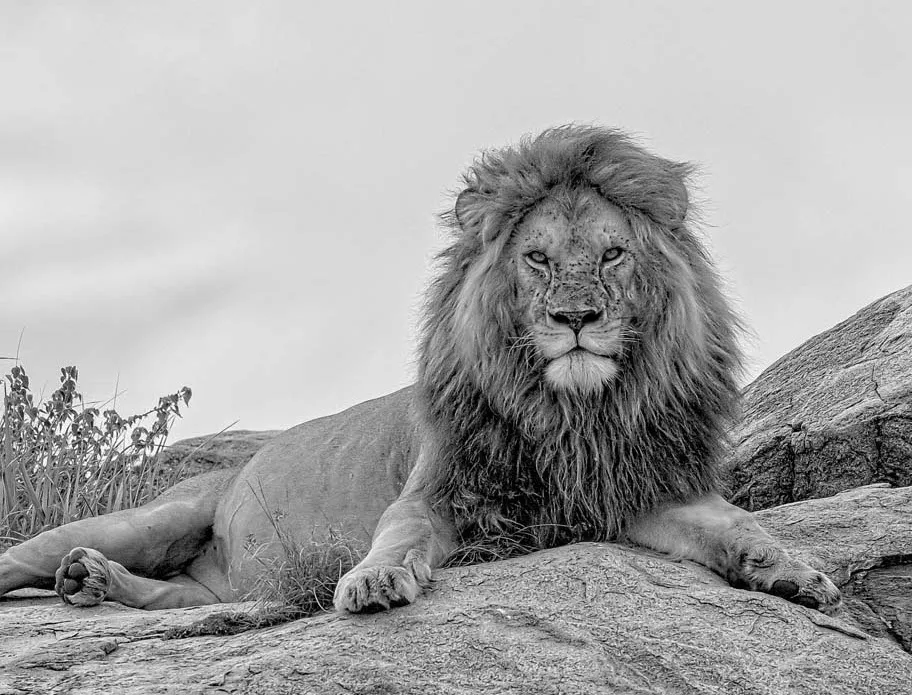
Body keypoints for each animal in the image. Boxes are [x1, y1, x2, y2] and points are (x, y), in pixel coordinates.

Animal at [0, 126, 841, 615]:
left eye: (612, 254)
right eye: (537, 258)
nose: (575, 318)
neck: (573, 413)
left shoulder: (642, 489)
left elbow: (740, 525)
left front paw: (797, 573)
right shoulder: (436, 490)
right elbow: (397, 533)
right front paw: (373, 581)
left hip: (211, 585)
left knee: (181, 598)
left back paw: (96, 582)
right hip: (147, 518)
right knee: (29, 555)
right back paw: (77, 572)